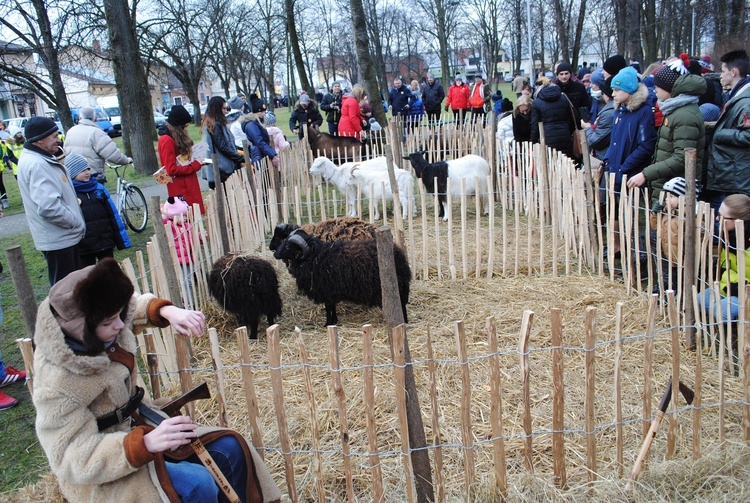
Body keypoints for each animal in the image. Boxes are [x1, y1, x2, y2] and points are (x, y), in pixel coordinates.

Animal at [274, 229, 412, 326]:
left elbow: (328, 308)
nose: (275, 254)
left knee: (401, 304)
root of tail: (399, 254)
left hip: (398, 286)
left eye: (287, 246)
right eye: (284, 241)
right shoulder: (330, 291)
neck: (314, 257)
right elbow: (332, 307)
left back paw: (403, 322)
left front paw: (328, 323)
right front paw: (334, 321)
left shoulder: (326, 290)